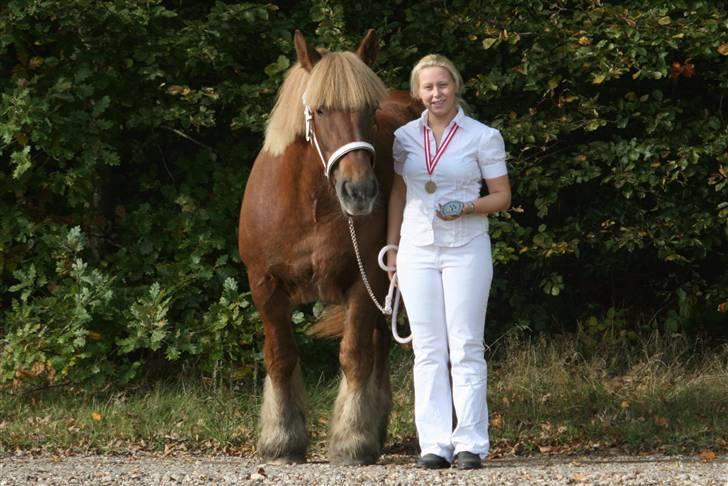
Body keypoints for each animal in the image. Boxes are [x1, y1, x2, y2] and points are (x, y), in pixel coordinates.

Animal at [239, 29, 418, 464]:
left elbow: (354, 356)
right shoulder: (264, 285)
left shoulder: (362, 284)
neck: (310, 205)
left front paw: (352, 439)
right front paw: (281, 439)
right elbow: (280, 357)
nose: (360, 191)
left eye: (370, 111)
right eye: (319, 111)